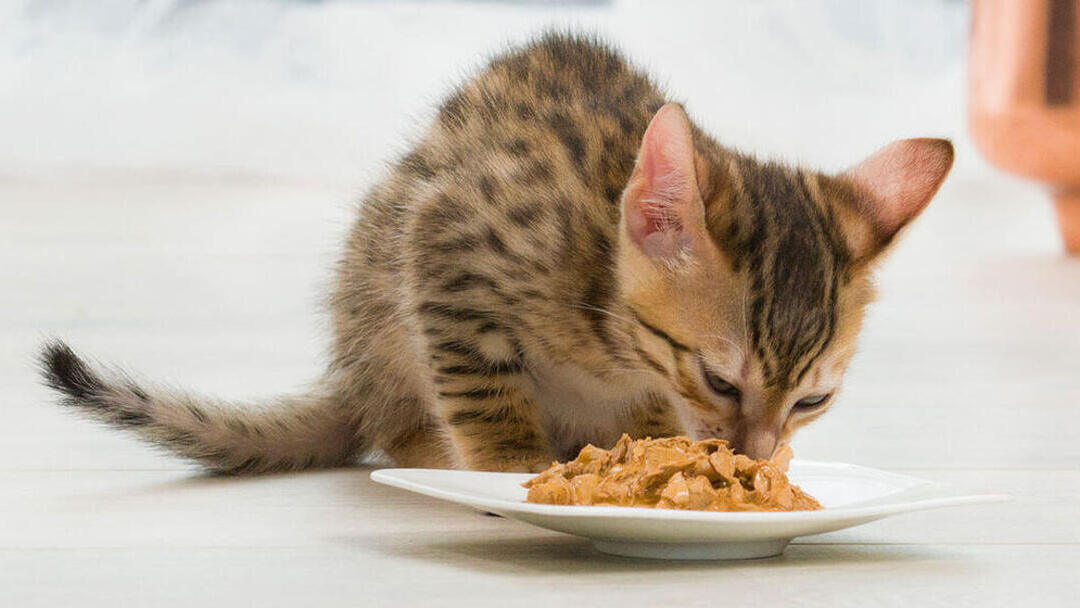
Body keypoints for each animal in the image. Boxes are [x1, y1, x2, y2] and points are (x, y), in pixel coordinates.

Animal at [39, 33, 954, 475]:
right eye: (721, 381)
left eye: (812, 402)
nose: (752, 455)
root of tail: (350, 380)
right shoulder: (447, 240)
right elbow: (478, 374)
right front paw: (509, 459)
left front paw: (658, 446)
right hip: (379, 292)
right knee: (396, 418)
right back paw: (427, 445)